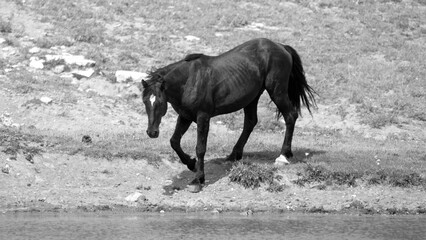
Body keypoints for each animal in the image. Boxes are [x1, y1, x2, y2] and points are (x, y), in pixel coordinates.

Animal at [141, 38, 314, 192]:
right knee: (250, 122)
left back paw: (283, 155)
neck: (190, 80)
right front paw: (191, 164)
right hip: (252, 98)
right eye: (145, 102)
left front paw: (198, 180)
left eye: (160, 102)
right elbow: (174, 142)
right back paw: (234, 154)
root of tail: (281, 47)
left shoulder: (203, 118)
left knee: (290, 116)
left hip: (277, 91)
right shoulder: (185, 116)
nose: (152, 132)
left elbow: (200, 148)